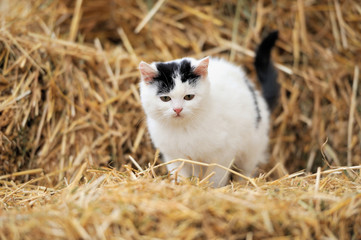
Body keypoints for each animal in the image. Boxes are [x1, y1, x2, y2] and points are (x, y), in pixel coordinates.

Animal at [138, 31, 278, 187]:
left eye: (189, 97)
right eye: (165, 98)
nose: (178, 109)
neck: (184, 129)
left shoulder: (223, 153)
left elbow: (216, 177)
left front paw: (211, 188)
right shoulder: (173, 156)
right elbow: (180, 174)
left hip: (252, 144)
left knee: (246, 169)